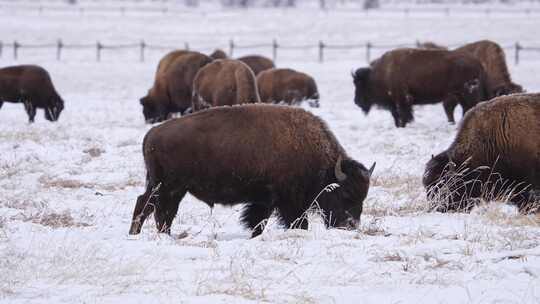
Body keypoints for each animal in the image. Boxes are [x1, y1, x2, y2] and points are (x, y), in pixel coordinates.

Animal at [130, 104, 376, 238]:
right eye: (345, 193)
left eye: (363, 197)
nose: (350, 226)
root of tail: (151, 134)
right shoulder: (288, 202)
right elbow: (297, 222)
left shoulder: (265, 201)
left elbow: (259, 222)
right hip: (166, 186)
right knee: (153, 207)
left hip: (171, 188)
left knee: (154, 208)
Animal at [352, 48, 488, 127]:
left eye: (359, 84)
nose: (356, 101)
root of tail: (477, 62)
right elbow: (397, 114)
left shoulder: (402, 99)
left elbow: (403, 114)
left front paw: (404, 125)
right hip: (460, 95)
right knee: (466, 108)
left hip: (467, 93)